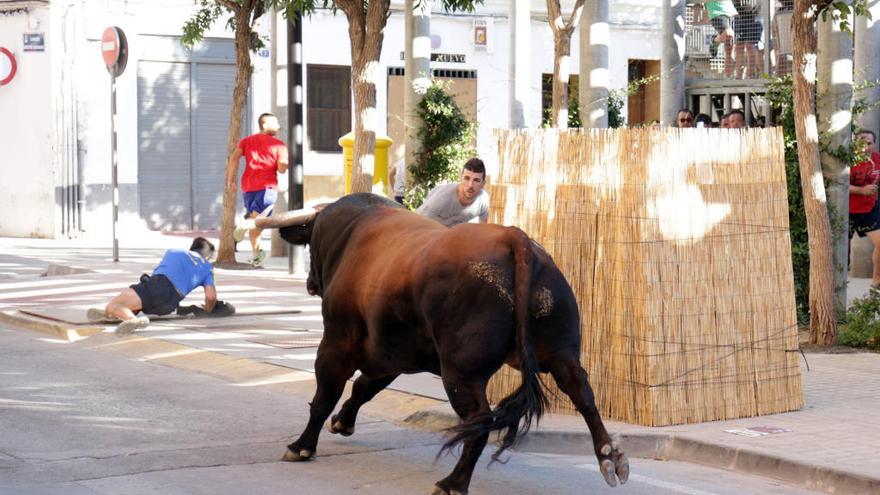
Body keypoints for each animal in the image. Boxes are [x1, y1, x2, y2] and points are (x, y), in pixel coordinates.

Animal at [278, 195, 628, 495]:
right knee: (583, 393)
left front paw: (301, 446)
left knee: (480, 420)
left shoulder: (337, 341)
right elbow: (364, 387)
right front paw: (342, 422)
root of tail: (514, 238)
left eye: (310, 244)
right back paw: (609, 456)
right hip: (560, 353)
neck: (352, 232)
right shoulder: (390, 355)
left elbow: (326, 394)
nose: (309, 283)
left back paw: (453, 482)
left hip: (460, 373)